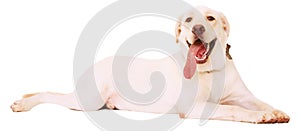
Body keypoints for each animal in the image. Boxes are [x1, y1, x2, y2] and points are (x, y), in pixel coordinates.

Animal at [10, 5, 290, 124]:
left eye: (210, 18)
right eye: (189, 20)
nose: (198, 28)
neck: (209, 70)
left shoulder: (244, 96)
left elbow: (259, 102)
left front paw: (275, 111)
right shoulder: (194, 107)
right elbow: (233, 109)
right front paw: (261, 117)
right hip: (88, 99)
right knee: (49, 94)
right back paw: (23, 103)